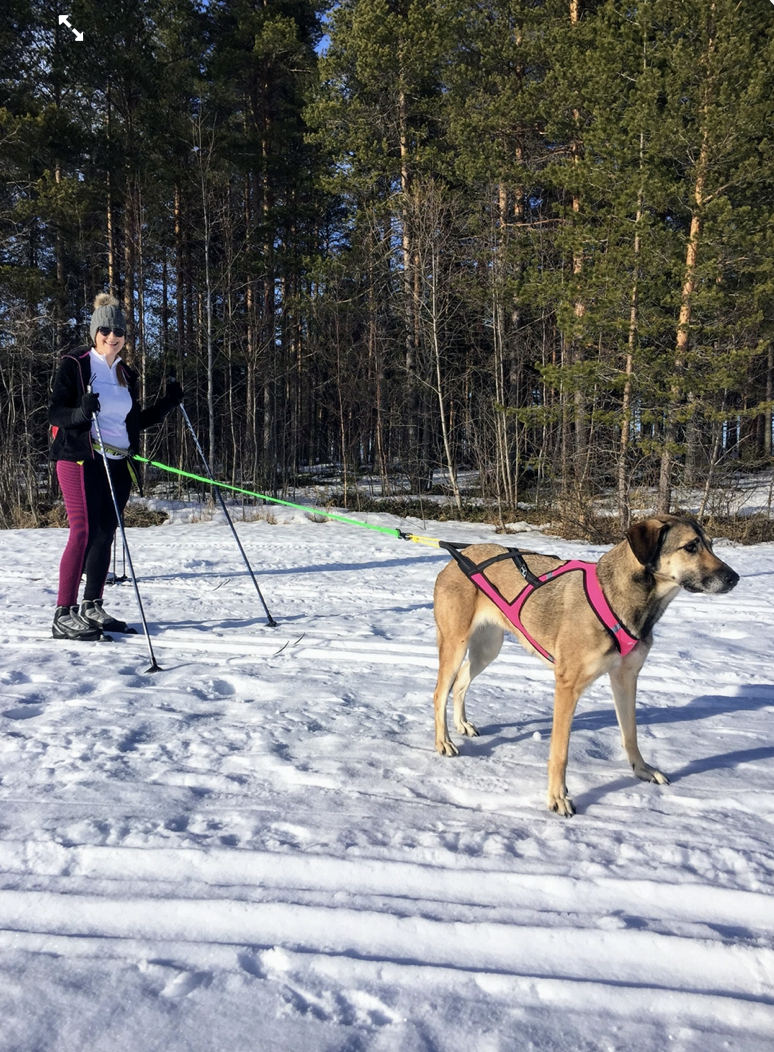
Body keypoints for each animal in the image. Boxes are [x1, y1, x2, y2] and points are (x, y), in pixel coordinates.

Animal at [433, 513, 740, 816]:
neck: (624, 600)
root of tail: (457, 558)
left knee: (461, 682)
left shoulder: (626, 678)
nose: (734, 578)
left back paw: (461, 725)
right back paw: (443, 742)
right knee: (440, 692)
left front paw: (642, 770)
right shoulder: (567, 687)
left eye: (711, 545)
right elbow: (560, 752)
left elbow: (631, 734)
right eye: (690, 546)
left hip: (488, 648)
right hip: (456, 644)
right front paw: (557, 797)